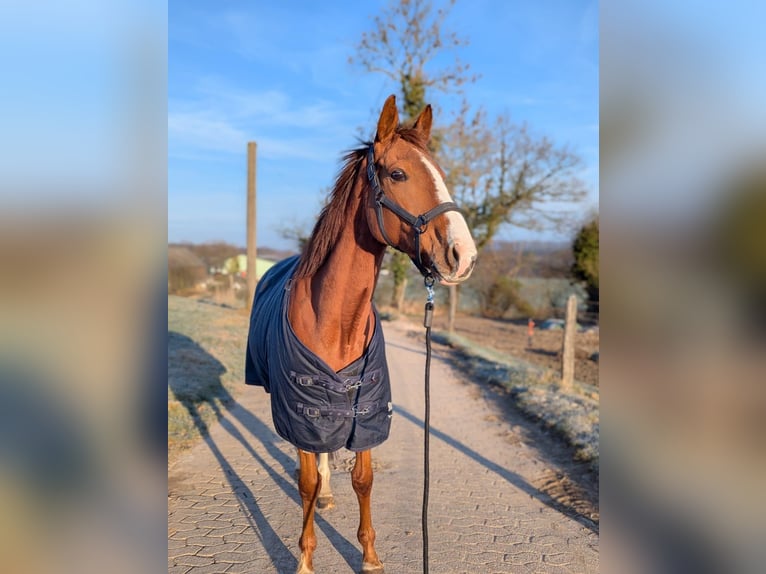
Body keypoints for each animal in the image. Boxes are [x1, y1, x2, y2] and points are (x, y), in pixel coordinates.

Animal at [246, 94, 477, 574]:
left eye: (442, 174)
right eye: (398, 174)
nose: (463, 255)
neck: (336, 321)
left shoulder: (367, 409)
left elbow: (363, 479)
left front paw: (370, 555)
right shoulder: (301, 409)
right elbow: (306, 483)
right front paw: (305, 559)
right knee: (312, 462)